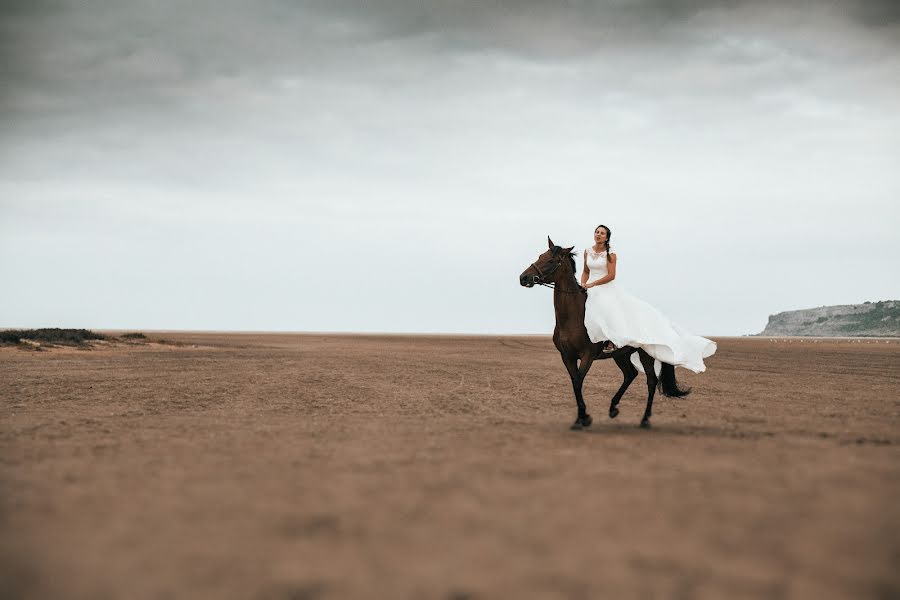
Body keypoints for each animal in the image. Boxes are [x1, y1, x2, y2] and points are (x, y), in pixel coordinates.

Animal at [520, 237, 688, 428]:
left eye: (551, 261)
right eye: (540, 256)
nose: (523, 278)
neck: (574, 317)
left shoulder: (587, 355)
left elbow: (578, 382)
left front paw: (583, 418)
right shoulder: (567, 356)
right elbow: (574, 383)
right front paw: (581, 418)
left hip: (645, 354)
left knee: (651, 381)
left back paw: (645, 419)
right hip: (621, 354)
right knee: (630, 374)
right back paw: (613, 408)